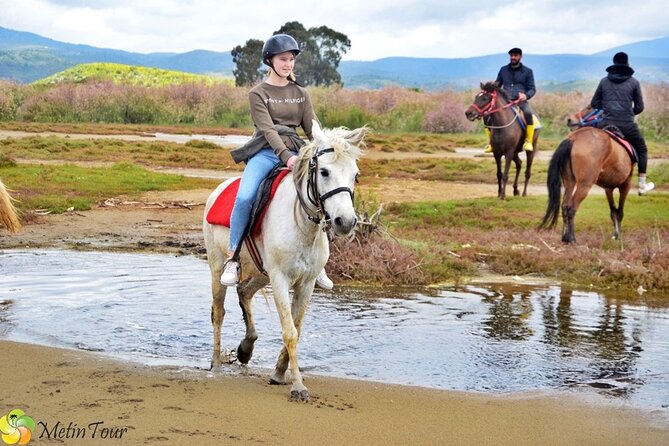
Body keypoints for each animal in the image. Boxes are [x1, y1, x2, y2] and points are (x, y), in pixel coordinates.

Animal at [202, 121, 366, 400]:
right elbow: (290, 331)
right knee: (218, 312)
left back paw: (246, 348)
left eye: (355, 174)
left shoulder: (306, 283)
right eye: (324, 172)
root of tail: (218, 190)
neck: (302, 224)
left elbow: (297, 327)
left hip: (260, 272)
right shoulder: (280, 278)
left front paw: (279, 372)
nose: (345, 222)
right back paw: (216, 364)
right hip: (217, 268)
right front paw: (297, 385)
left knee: (244, 292)